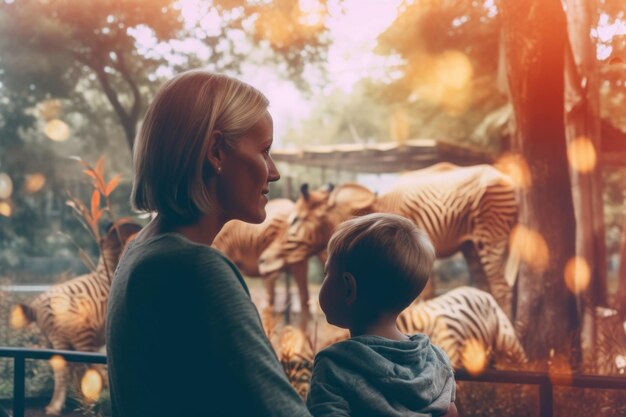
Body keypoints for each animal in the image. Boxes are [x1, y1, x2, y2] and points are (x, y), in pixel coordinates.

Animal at [13, 221, 141, 412]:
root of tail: (36, 306)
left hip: (54, 341)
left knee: (68, 366)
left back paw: (75, 401)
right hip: (74, 337)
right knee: (72, 369)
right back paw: (70, 404)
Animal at [258, 162, 516, 316]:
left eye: (295, 220)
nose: (262, 261)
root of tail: (507, 179)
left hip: (490, 238)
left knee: (501, 287)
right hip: (471, 246)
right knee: (484, 288)